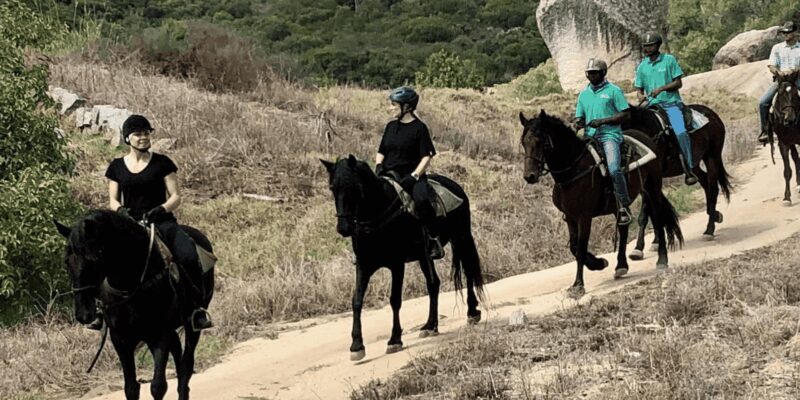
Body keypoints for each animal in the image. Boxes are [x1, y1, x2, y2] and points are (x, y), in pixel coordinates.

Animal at [55, 210, 214, 400]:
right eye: (66, 261)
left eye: (95, 257)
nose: (83, 314)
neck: (132, 285)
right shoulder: (120, 338)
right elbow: (131, 388)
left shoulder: (160, 333)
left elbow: (158, 386)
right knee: (178, 351)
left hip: (191, 325)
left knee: (186, 366)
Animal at [321, 155, 485, 361]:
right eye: (332, 187)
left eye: (353, 186)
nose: (343, 228)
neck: (377, 216)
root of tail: (455, 186)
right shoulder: (363, 265)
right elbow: (356, 301)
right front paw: (356, 346)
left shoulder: (396, 264)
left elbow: (395, 300)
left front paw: (394, 340)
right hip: (425, 256)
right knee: (433, 283)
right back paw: (430, 326)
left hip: (461, 237)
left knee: (468, 272)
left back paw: (472, 313)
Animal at [519, 110, 683, 299]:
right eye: (524, 142)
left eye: (541, 141)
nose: (529, 176)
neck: (573, 171)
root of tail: (645, 138)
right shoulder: (570, 216)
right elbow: (574, 246)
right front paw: (599, 263)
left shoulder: (584, 216)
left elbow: (581, 247)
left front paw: (578, 285)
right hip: (621, 203)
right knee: (624, 228)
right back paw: (621, 266)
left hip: (652, 188)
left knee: (657, 218)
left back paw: (662, 259)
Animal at [624, 103, 731, 257]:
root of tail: (711, 114)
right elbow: (653, 210)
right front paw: (655, 242)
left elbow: (646, 212)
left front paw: (638, 248)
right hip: (694, 164)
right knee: (705, 183)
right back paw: (715, 215)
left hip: (712, 157)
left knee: (712, 189)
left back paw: (709, 230)